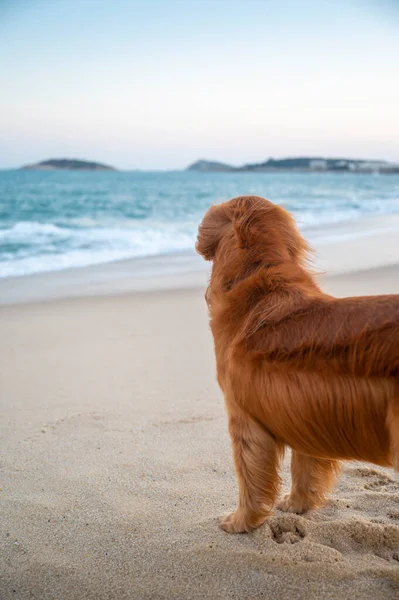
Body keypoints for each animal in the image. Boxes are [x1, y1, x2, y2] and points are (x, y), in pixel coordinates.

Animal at [196, 195, 399, 532]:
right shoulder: (306, 415)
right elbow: (304, 469)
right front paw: (297, 504)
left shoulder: (244, 420)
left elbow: (249, 479)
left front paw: (241, 521)